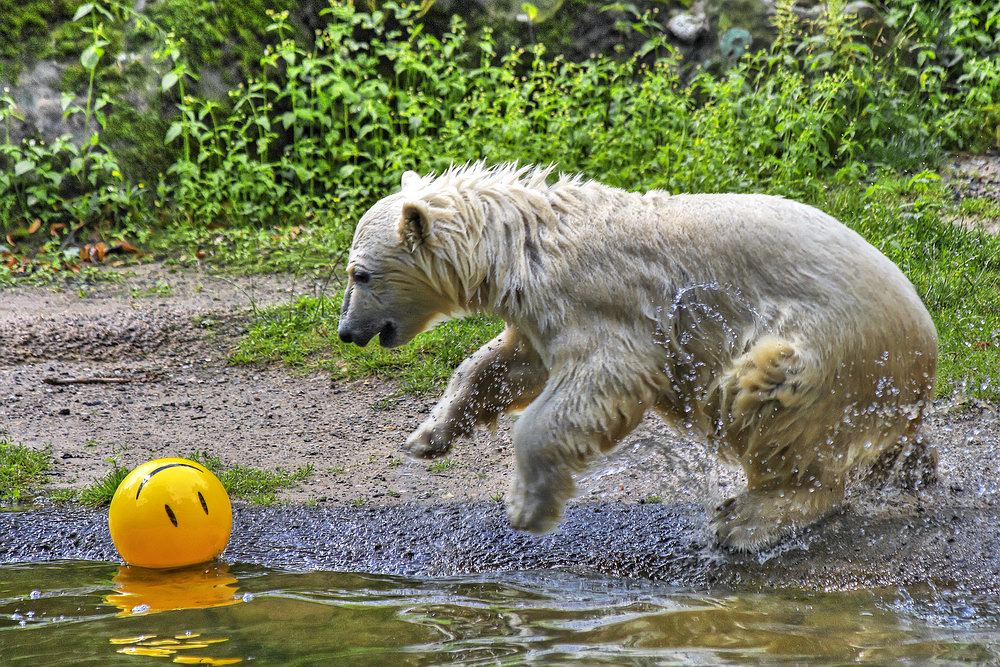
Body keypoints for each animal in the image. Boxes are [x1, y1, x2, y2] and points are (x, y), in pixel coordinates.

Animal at [336, 163, 936, 552]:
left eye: (358, 274)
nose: (346, 331)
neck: (526, 244)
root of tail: (924, 361)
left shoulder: (601, 301)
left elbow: (597, 382)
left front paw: (528, 506)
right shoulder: (541, 315)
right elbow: (503, 365)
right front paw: (426, 436)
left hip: (834, 352)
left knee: (764, 392)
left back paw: (746, 520)